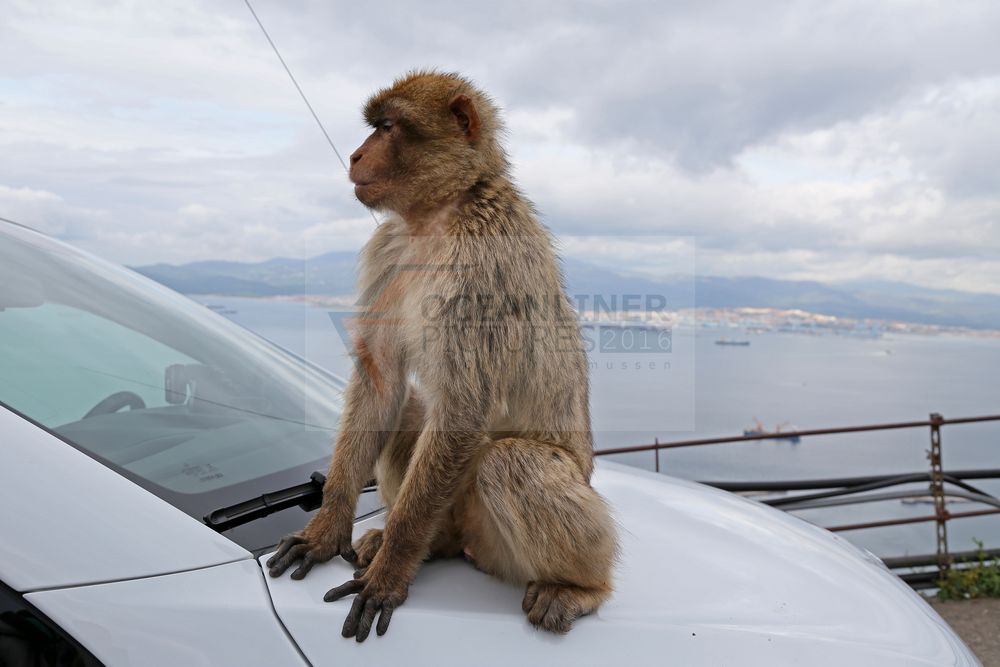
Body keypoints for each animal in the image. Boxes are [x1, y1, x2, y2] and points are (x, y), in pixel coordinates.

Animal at [267, 70, 617, 642]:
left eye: (388, 127)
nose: (356, 154)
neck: (439, 214)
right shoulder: (389, 246)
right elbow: (382, 379)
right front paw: (327, 530)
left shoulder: (481, 264)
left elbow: (463, 410)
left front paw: (390, 573)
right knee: (409, 405)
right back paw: (423, 547)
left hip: (501, 540)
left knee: (510, 460)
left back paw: (579, 587)